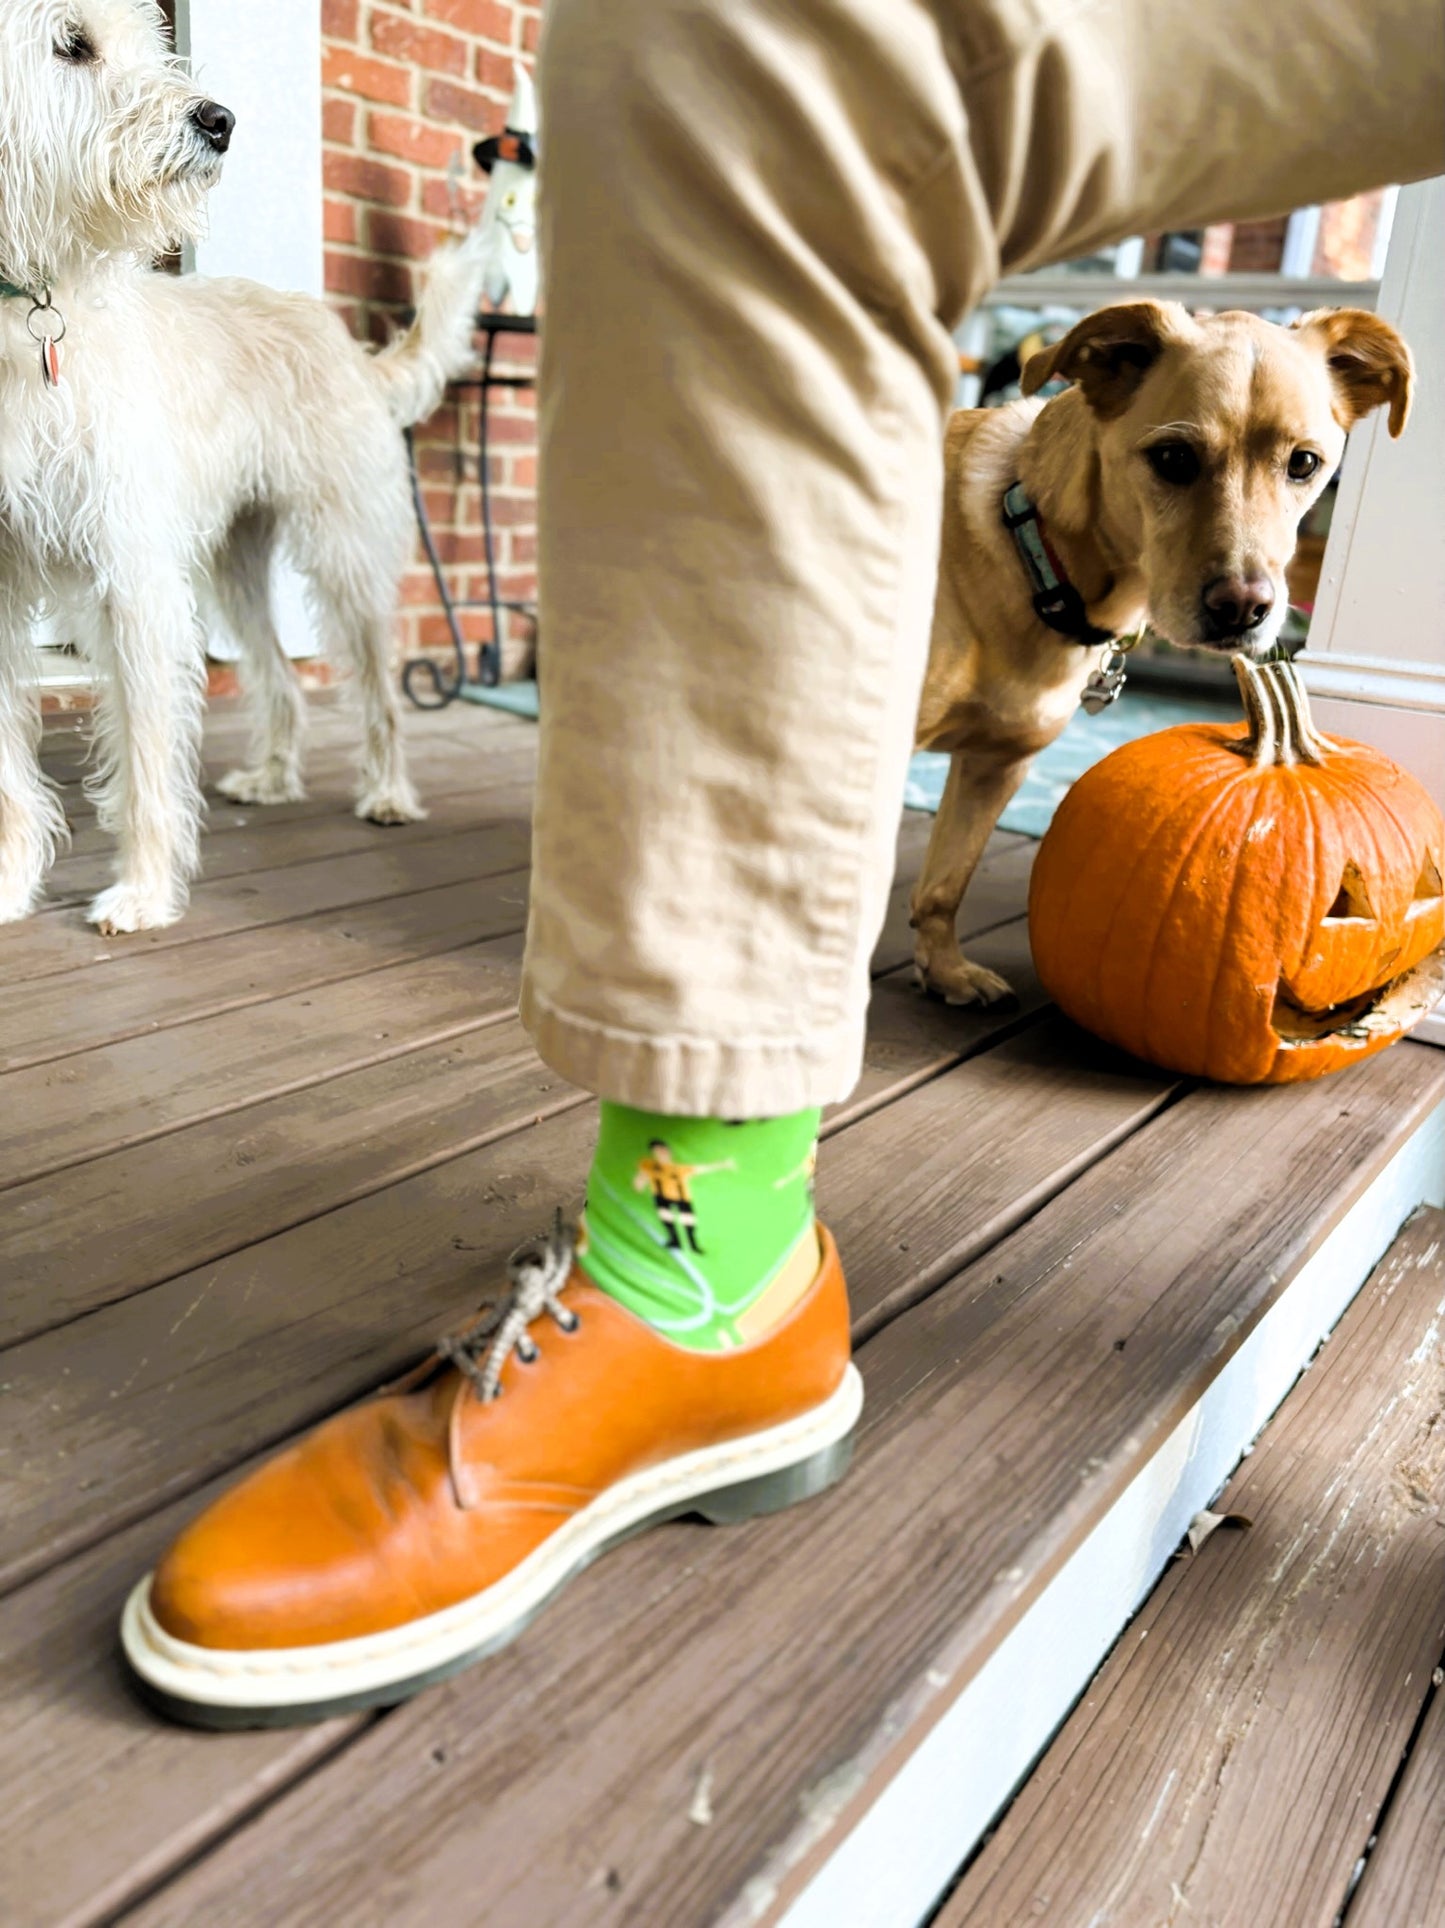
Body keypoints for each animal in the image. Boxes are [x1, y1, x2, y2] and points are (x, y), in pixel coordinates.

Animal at [0, 0, 488, 933]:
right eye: (71, 43)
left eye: (151, 40)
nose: (219, 120)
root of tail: (345, 342)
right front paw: (9, 885)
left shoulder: (133, 576)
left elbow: (147, 750)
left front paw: (143, 891)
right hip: (233, 564)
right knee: (281, 679)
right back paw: (270, 778)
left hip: (342, 558)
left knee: (376, 688)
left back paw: (388, 794)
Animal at [914, 304, 1412, 1010]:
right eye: (1174, 457)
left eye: (1304, 463)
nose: (1245, 609)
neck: (1040, 550)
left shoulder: (997, 767)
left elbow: (945, 881)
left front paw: (945, 967)